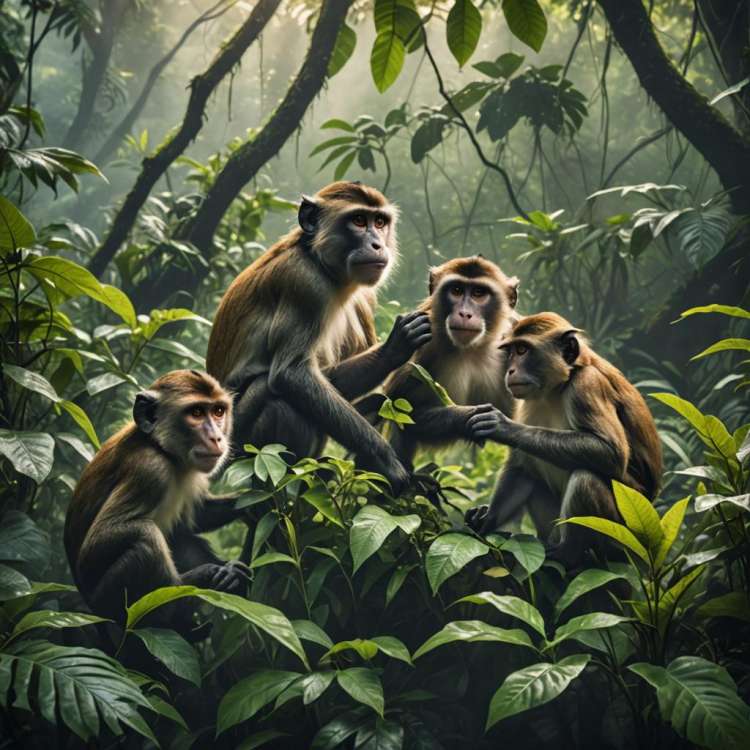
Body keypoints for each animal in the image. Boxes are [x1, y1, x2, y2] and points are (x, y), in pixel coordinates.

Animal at [64, 370, 250, 634]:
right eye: (196, 413)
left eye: (218, 411)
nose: (216, 437)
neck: (161, 448)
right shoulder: (150, 469)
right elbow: (96, 545)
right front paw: (203, 577)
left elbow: (195, 517)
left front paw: (257, 505)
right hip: (106, 601)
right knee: (145, 541)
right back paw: (185, 593)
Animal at [206, 181, 431, 495]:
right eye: (359, 220)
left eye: (380, 222)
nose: (378, 244)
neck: (319, 260)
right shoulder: (305, 285)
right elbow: (292, 374)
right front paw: (387, 462)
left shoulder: (363, 296)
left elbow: (328, 377)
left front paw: (396, 347)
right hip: (236, 448)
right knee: (275, 397)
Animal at [381, 256, 519, 470]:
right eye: (456, 290)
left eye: (479, 293)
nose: (464, 313)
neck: (472, 348)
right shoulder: (424, 344)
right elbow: (402, 408)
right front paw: (467, 417)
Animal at [463, 312, 663, 566]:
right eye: (511, 352)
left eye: (522, 350)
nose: (510, 371)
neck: (561, 384)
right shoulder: (526, 401)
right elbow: (520, 467)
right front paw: (487, 518)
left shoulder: (588, 384)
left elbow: (610, 451)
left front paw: (503, 427)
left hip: (626, 536)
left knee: (585, 478)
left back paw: (569, 552)